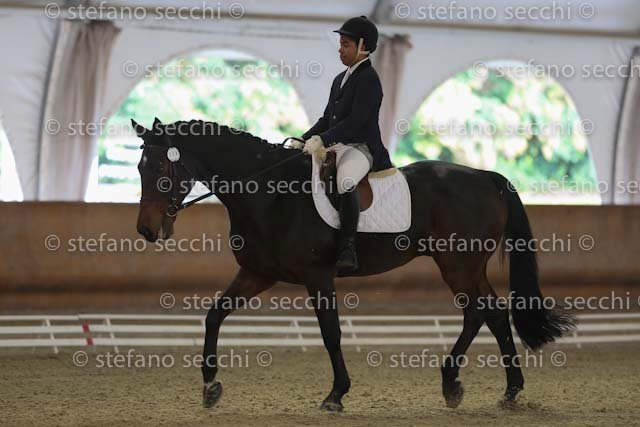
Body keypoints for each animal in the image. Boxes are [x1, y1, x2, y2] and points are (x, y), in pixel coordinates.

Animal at [133, 117, 575, 412]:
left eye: (160, 168)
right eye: (139, 167)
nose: (147, 231)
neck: (269, 192)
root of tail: (488, 177)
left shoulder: (318, 277)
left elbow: (331, 334)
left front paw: (336, 394)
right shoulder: (259, 273)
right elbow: (214, 315)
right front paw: (210, 385)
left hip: (458, 265)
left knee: (479, 313)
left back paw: (457, 383)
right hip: (466, 266)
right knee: (493, 313)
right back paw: (506, 390)